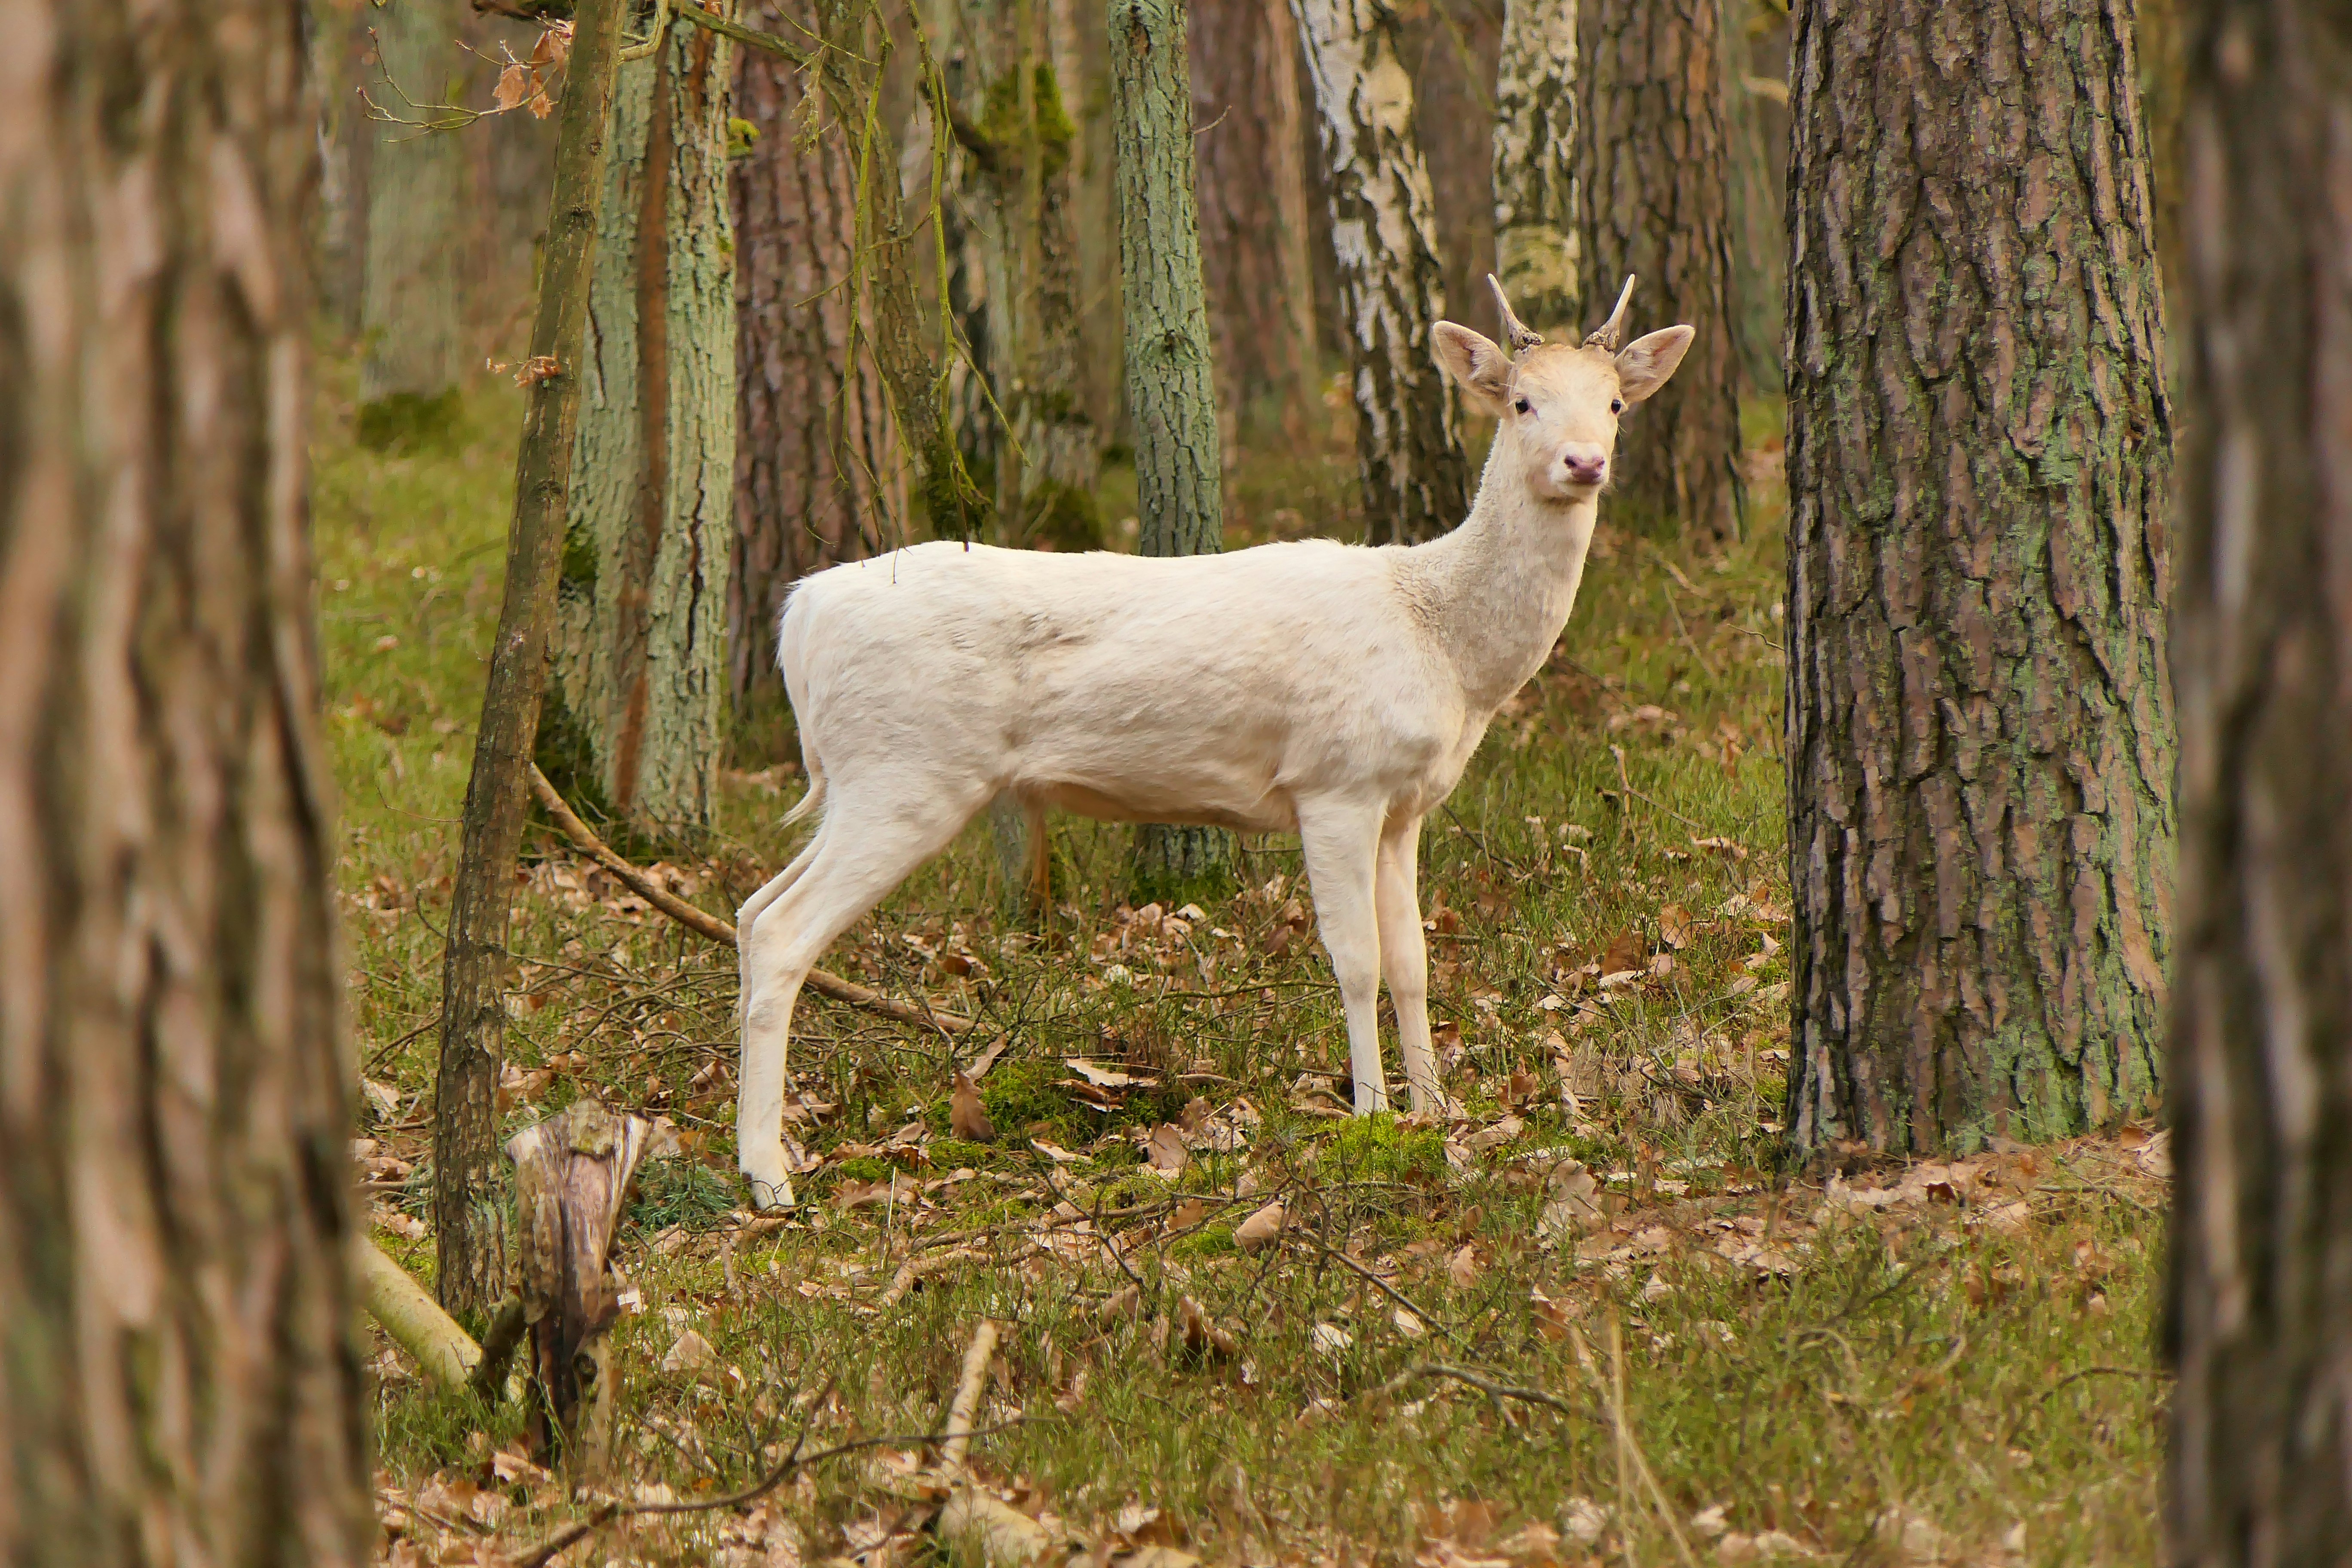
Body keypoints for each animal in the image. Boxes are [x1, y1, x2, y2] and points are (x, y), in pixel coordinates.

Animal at [734, 276, 1692, 1207]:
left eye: (1614, 402)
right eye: (1522, 402)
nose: (1584, 462)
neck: (1446, 645)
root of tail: (802, 617)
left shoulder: (1404, 804)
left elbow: (1414, 959)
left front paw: (1437, 1110)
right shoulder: (1334, 781)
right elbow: (1356, 960)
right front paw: (1373, 1116)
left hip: (863, 780)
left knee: (750, 910)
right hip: (908, 771)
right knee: (783, 929)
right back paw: (768, 1179)